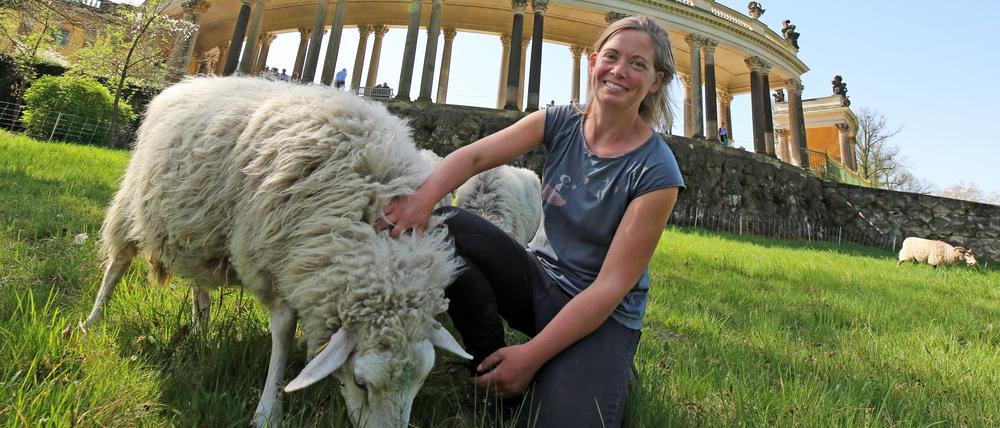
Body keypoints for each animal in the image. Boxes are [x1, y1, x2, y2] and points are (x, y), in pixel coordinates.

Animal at [76, 76, 472, 428]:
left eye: (420, 383)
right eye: (361, 383)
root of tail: (187, 83)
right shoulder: (269, 258)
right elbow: (281, 331)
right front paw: (268, 410)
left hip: (197, 228)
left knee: (199, 282)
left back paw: (200, 327)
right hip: (132, 204)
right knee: (117, 264)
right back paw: (91, 321)